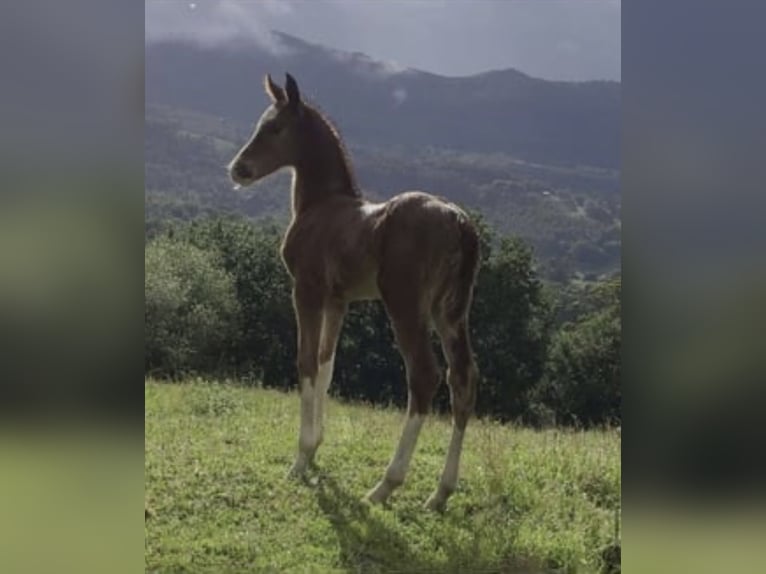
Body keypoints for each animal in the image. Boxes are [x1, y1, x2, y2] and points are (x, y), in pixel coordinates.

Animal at [227, 73, 480, 511]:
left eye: (274, 128)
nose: (237, 169)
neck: (320, 207)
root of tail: (459, 223)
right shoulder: (338, 300)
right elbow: (326, 365)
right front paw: (316, 449)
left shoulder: (306, 290)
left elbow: (305, 362)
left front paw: (300, 458)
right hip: (450, 311)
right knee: (462, 377)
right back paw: (440, 493)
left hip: (406, 305)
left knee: (424, 375)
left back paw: (385, 485)